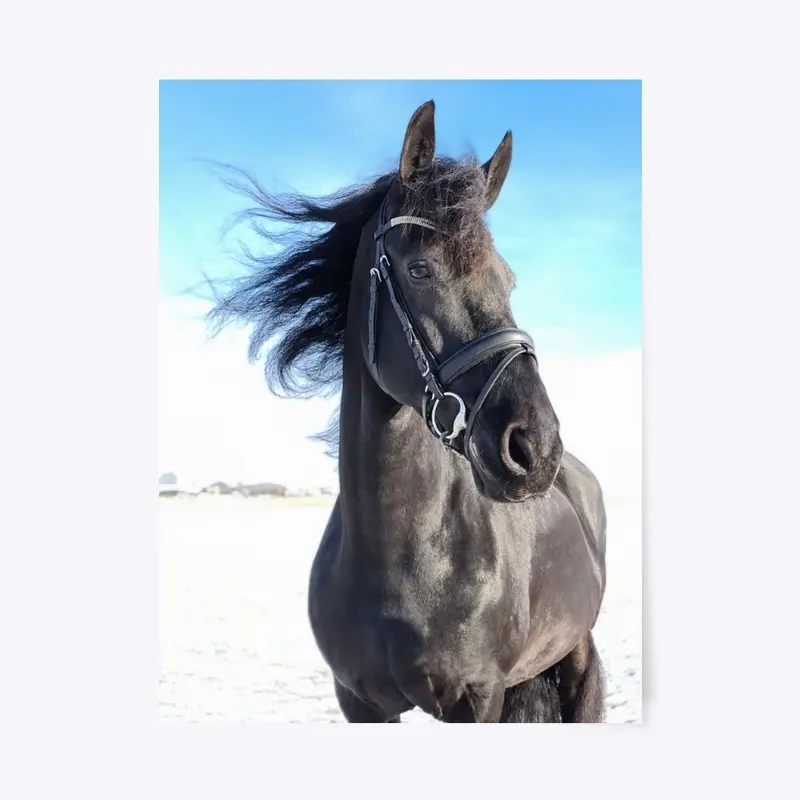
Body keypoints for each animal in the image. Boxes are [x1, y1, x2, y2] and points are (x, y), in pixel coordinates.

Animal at [209, 101, 608, 724]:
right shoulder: (358, 702)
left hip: (578, 657)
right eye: (419, 270)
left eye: (509, 279)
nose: (535, 447)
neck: (404, 560)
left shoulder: (480, 697)